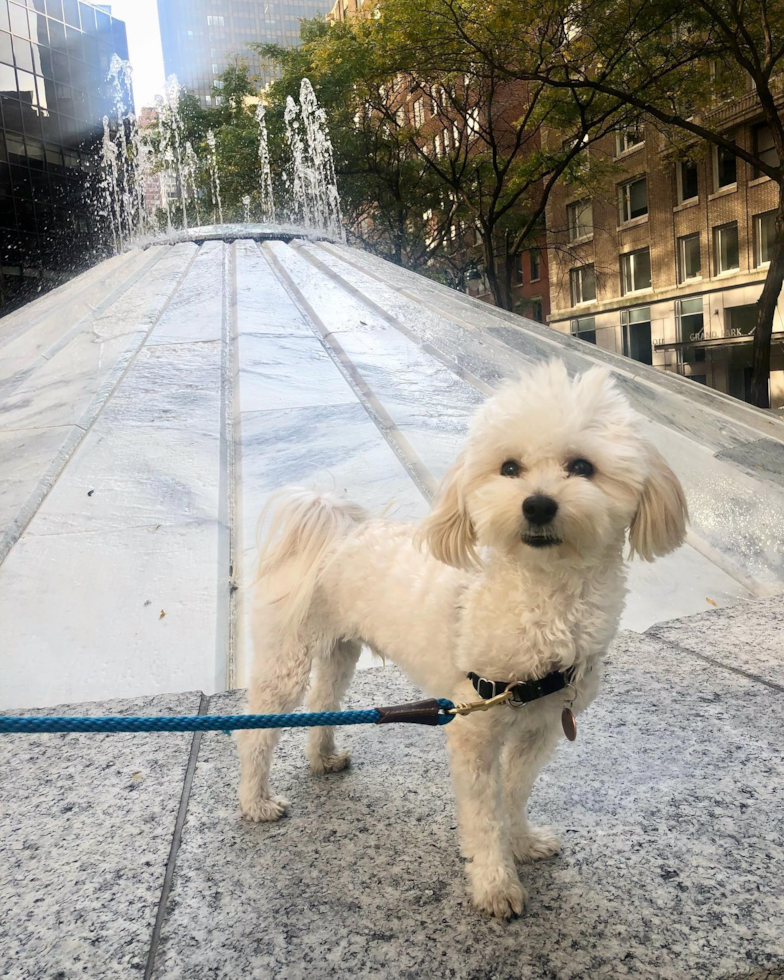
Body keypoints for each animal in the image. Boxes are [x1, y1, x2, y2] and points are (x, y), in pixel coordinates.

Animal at [239, 360, 688, 920]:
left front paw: (522, 843)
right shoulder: (473, 727)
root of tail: (336, 529)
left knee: (324, 700)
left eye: (582, 466)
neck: (544, 600)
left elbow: (514, 794)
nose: (537, 505)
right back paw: (256, 801)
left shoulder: (540, 728)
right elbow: (483, 812)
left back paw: (323, 758)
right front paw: (495, 883)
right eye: (510, 468)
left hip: (342, 650)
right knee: (255, 732)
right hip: (286, 655)